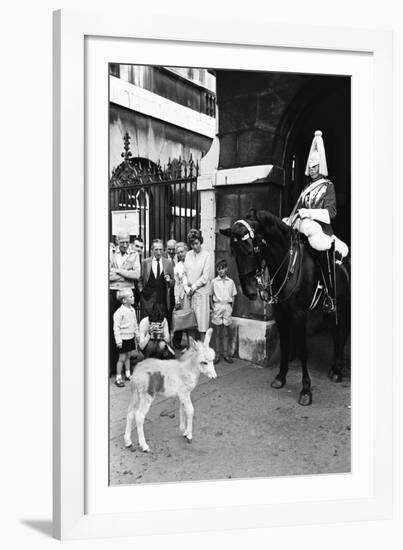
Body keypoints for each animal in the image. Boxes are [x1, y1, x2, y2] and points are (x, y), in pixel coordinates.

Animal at [221, 209, 350, 408]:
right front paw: (280, 377)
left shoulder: (299, 315)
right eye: (233, 252)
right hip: (330, 312)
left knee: (341, 334)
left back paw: (337, 371)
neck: (287, 265)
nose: (249, 292)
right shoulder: (281, 313)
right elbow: (284, 345)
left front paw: (306, 390)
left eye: (250, 249)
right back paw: (334, 369)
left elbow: (303, 350)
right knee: (336, 335)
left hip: (342, 306)